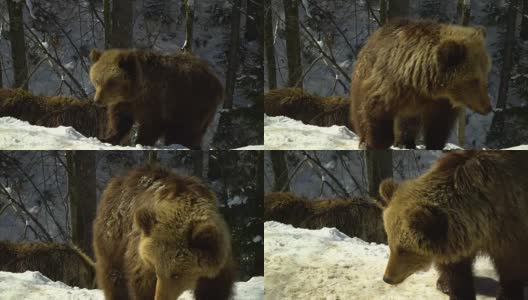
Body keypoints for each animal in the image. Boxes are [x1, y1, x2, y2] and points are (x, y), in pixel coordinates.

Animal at [89, 49, 222, 150]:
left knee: (184, 130)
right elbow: (120, 120)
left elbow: (151, 124)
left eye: (110, 83)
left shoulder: (156, 100)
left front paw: (141, 142)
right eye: (97, 80)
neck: (134, 91)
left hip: (191, 102)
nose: (97, 101)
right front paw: (108, 138)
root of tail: (216, 79)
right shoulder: (125, 103)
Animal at [93, 165, 235, 300]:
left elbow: (214, 291)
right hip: (113, 242)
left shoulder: (218, 267)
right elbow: (142, 286)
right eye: (157, 271)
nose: (160, 297)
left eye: (176, 275)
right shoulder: (143, 262)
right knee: (114, 279)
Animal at [352, 19, 492, 150]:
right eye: (474, 79)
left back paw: (405, 142)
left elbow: (438, 126)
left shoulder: (440, 103)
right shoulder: (391, 87)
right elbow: (376, 113)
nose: (488, 107)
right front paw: (375, 143)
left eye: (485, 74)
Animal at [376, 151, 528, 298]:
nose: (387, 278)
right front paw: (456, 290)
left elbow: (511, 269)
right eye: (390, 243)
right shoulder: (457, 241)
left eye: (403, 250)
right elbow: (457, 274)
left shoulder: (509, 230)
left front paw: (508, 294)